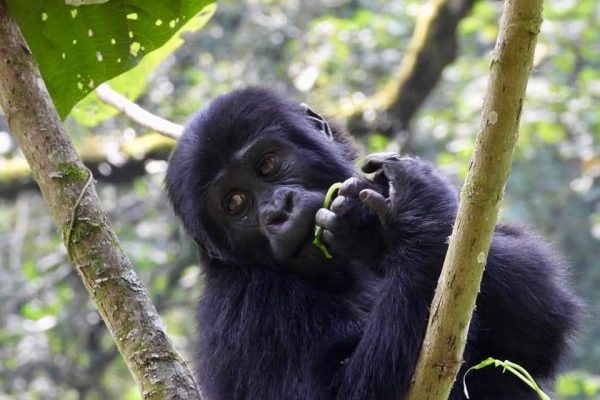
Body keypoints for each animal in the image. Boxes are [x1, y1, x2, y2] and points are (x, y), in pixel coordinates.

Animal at [165, 88, 580, 400]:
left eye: (267, 164)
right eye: (234, 202)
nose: (277, 212)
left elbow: (541, 325)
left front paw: (374, 235)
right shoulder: (248, 305)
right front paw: (417, 215)